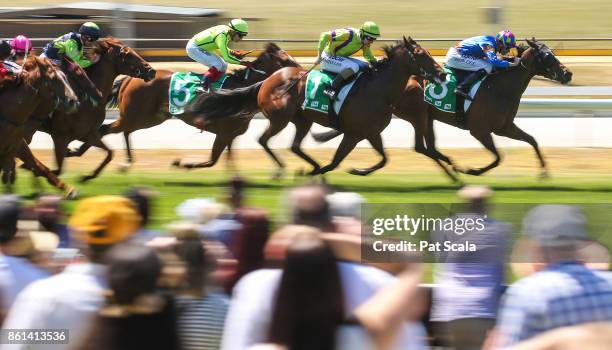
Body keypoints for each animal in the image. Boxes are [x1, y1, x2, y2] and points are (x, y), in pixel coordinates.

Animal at [73, 42, 298, 171]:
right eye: (285, 59)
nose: (300, 70)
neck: (239, 92)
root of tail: (130, 78)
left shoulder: (231, 135)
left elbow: (229, 163)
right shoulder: (223, 133)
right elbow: (213, 160)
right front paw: (183, 163)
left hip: (150, 118)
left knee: (123, 131)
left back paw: (121, 160)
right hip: (136, 115)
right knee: (108, 129)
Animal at [189, 37, 442, 178]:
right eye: (421, 54)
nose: (440, 73)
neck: (377, 90)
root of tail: (268, 80)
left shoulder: (370, 132)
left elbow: (383, 159)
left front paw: (357, 170)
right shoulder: (353, 133)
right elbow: (336, 161)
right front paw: (322, 173)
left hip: (302, 119)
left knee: (294, 146)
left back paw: (308, 165)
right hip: (280, 118)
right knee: (264, 140)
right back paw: (282, 169)